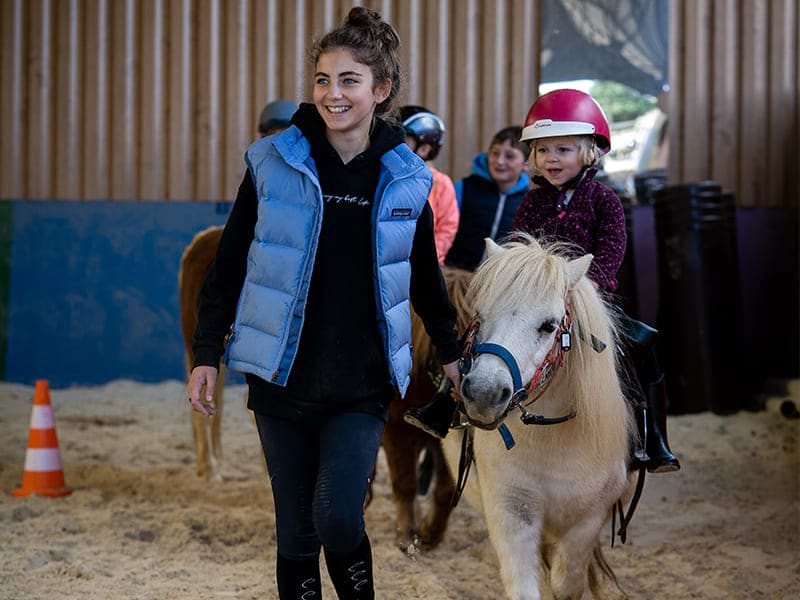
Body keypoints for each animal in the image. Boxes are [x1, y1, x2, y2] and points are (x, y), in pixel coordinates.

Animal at [444, 236, 636, 600]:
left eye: (548, 325)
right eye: (481, 315)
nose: (484, 392)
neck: (551, 438)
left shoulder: (588, 520)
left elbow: (567, 583)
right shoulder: (512, 512)